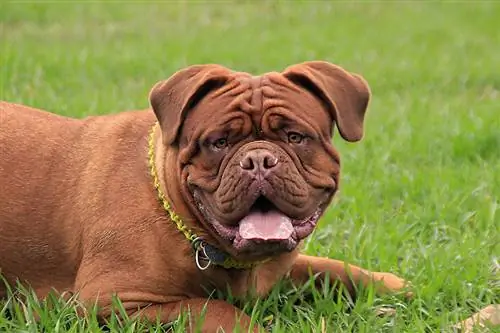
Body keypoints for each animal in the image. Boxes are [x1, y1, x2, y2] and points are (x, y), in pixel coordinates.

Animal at [0, 61, 410, 330]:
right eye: (219, 142)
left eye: (295, 137)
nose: (258, 159)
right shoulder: (114, 300)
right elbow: (212, 309)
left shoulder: (284, 268)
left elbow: (332, 268)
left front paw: (394, 287)